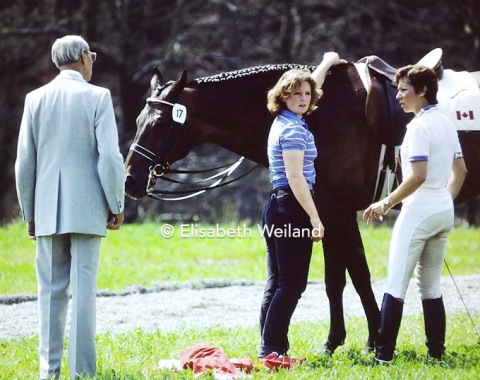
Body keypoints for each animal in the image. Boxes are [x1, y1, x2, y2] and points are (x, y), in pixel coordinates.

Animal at [125, 61, 480, 350]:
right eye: (140, 119)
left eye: (160, 124)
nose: (130, 179)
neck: (323, 113)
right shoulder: (333, 213)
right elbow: (347, 276)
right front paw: (356, 339)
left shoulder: (336, 212)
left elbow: (347, 278)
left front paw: (354, 341)